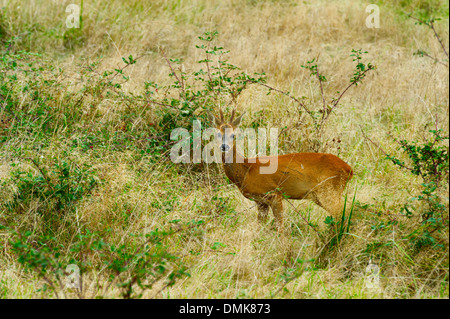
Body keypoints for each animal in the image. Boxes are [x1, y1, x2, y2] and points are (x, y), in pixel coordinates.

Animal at [207, 110, 352, 232]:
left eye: (233, 135)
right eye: (218, 134)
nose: (224, 146)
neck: (246, 170)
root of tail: (349, 169)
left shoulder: (274, 193)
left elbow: (279, 227)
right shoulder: (261, 202)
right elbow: (260, 227)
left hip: (328, 190)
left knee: (344, 213)